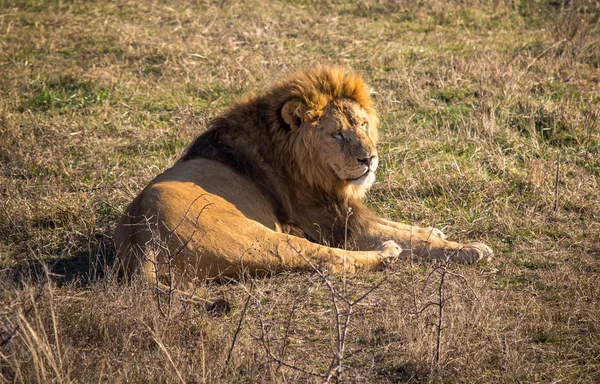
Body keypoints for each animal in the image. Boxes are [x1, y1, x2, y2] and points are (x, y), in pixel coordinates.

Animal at [113, 66, 492, 284]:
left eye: (363, 124)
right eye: (336, 134)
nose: (369, 159)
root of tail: (142, 238)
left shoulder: (343, 211)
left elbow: (401, 226)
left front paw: (434, 231)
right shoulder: (332, 224)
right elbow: (409, 238)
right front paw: (470, 248)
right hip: (262, 239)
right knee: (332, 261)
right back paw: (387, 253)